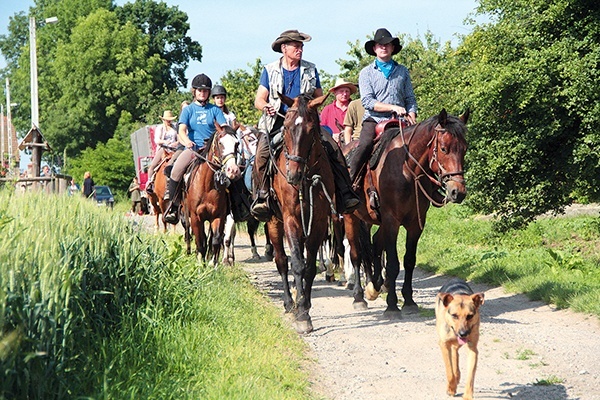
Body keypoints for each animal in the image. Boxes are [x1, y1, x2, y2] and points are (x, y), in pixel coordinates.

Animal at [182, 123, 240, 264]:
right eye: (220, 143)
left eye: (237, 144)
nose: (233, 170)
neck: (206, 186)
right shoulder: (196, 218)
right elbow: (200, 243)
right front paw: (200, 264)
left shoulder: (218, 216)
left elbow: (215, 241)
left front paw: (212, 264)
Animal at [266, 92, 336, 332]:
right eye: (286, 127)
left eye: (311, 129)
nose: (292, 175)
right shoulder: (291, 220)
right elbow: (296, 264)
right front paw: (301, 315)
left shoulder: (318, 223)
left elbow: (310, 268)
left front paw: (305, 308)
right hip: (273, 223)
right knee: (281, 260)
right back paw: (289, 303)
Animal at [342, 108, 468, 316]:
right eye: (443, 148)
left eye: (465, 149)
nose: (457, 192)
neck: (407, 170)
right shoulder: (392, 221)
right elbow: (393, 263)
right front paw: (392, 304)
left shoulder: (416, 223)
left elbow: (409, 260)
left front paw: (408, 300)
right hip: (351, 218)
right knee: (356, 254)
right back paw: (359, 296)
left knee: (374, 245)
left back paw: (376, 285)